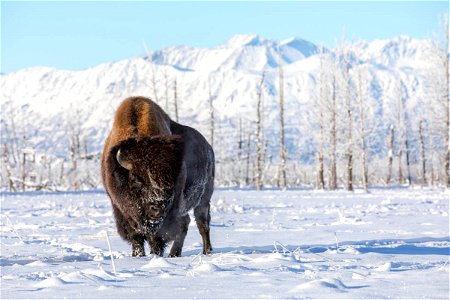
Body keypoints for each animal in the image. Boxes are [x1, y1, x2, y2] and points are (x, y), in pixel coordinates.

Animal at [102, 97, 214, 256]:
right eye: (136, 179)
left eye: (172, 180)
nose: (157, 207)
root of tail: (208, 148)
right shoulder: (121, 211)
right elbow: (136, 236)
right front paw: (138, 255)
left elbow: (157, 237)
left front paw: (155, 254)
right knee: (186, 222)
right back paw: (175, 254)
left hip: (203, 200)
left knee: (201, 223)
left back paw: (206, 251)